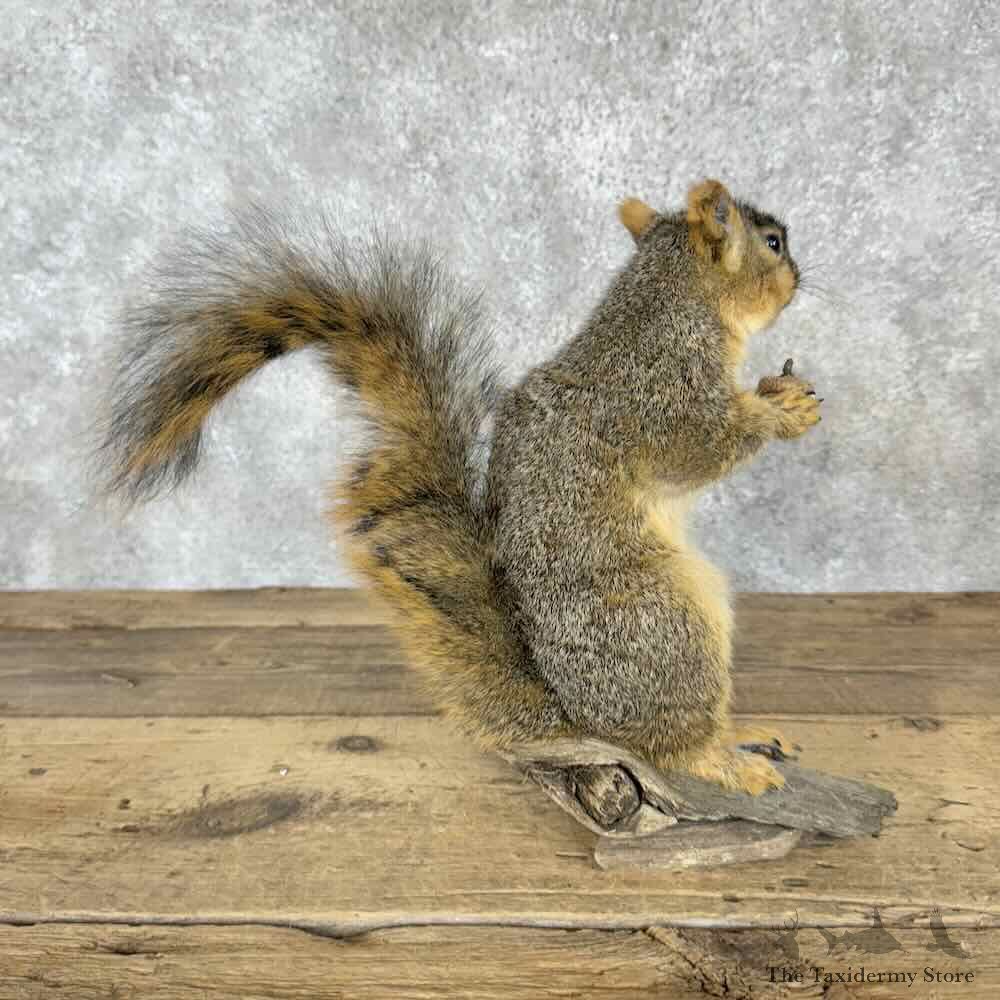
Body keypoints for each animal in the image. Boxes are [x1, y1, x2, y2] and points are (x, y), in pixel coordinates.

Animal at [99, 179, 820, 796]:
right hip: (667, 621)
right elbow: (697, 445)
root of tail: (575, 716)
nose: (798, 279)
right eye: (772, 243)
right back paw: (722, 759)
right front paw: (779, 409)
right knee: (669, 745)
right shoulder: (657, 390)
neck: (674, 300)